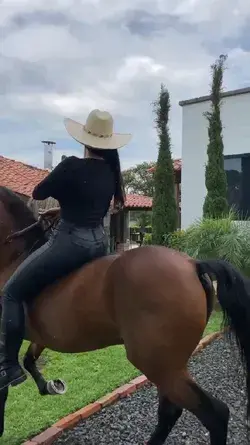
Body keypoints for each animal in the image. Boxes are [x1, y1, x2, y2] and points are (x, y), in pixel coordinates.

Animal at [0, 185, 250, 444]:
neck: (13, 257)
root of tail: (193, 264)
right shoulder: (41, 337)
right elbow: (29, 360)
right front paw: (49, 386)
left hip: (158, 365)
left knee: (213, 414)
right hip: (169, 365)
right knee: (170, 411)